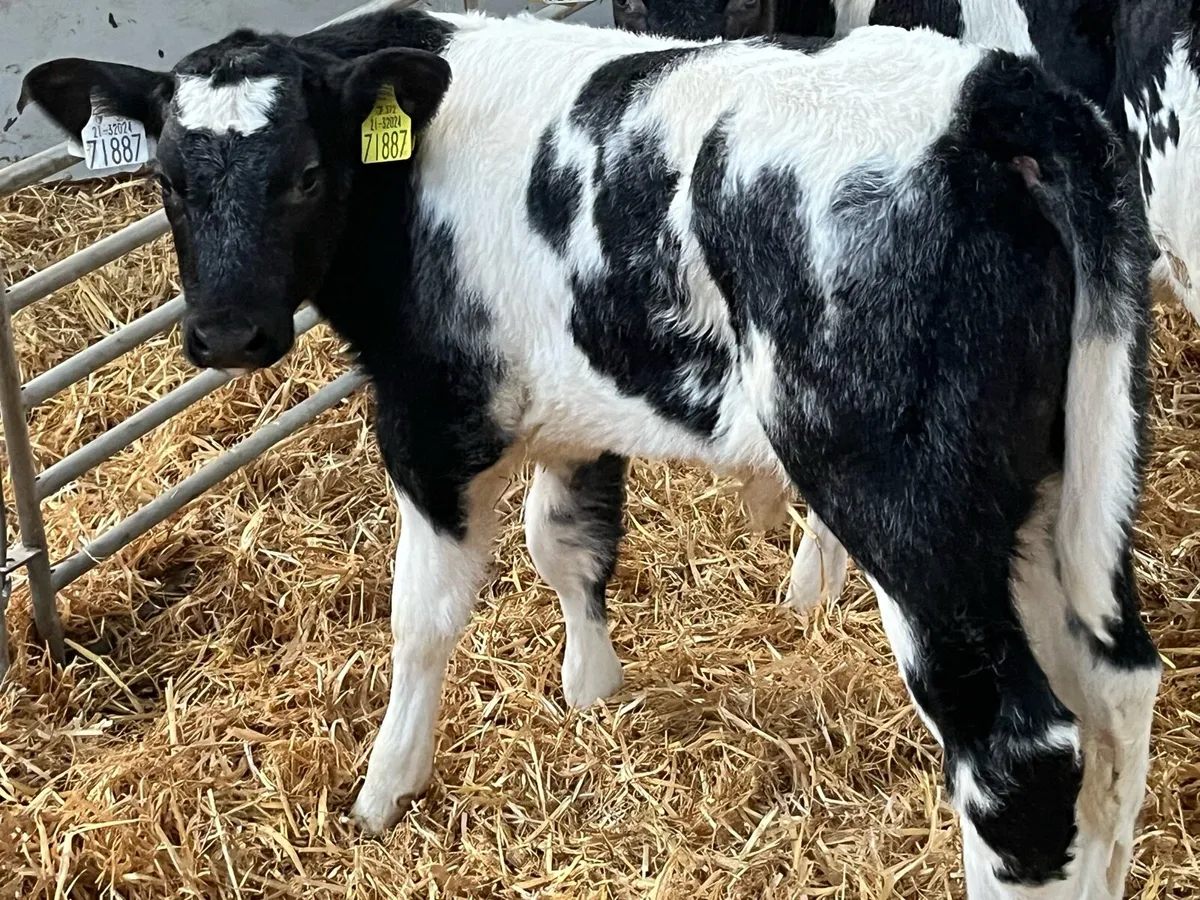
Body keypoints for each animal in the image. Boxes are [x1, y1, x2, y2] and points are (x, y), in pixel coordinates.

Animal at [21, 6, 1162, 896]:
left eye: (305, 173)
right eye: (169, 181)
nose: (226, 335)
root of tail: (987, 93)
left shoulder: (433, 419)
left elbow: (423, 616)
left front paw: (385, 789)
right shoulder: (573, 410)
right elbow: (568, 544)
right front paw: (592, 690)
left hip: (908, 501)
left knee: (1018, 754)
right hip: (1058, 488)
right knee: (1113, 692)